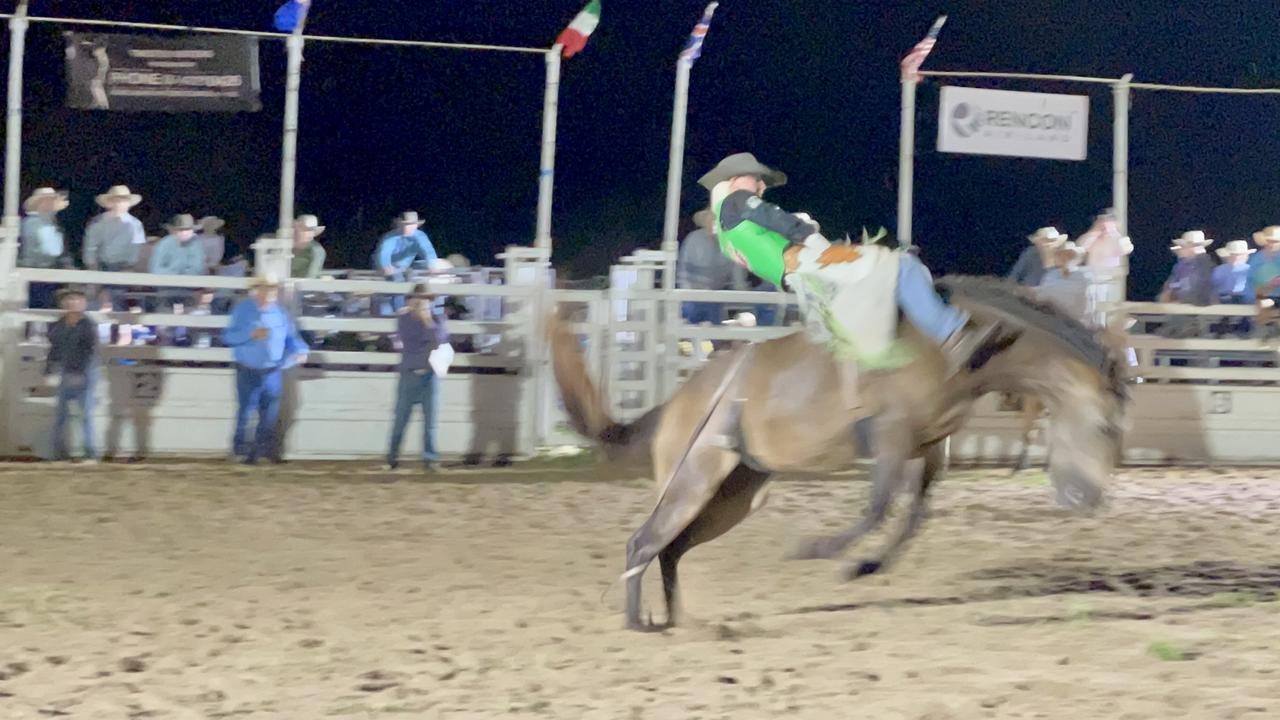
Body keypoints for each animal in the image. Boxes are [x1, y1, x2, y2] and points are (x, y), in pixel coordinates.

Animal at [545, 274, 1126, 627]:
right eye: (1102, 425)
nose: (1088, 499)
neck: (957, 345)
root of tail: (675, 403)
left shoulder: (929, 445)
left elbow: (915, 515)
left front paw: (864, 567)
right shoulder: (890, 435)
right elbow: (878, 506)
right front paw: (820, 552)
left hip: (735, 494)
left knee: (670, 548)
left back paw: (678, 622)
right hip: (694, 476)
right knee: (642, 542)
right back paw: (637, 624)